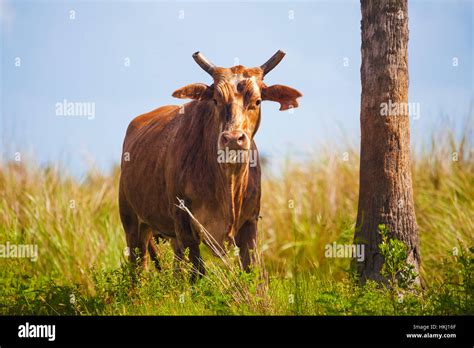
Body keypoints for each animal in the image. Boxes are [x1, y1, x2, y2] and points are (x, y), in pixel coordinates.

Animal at [119, 51, 304, 280]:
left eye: (258, 100)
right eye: (216, 99)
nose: (233, 138)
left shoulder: (250, 224)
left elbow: (252, 271)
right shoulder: (184, 224)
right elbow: (197, 274)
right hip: (132, 224)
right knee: (138, 271)